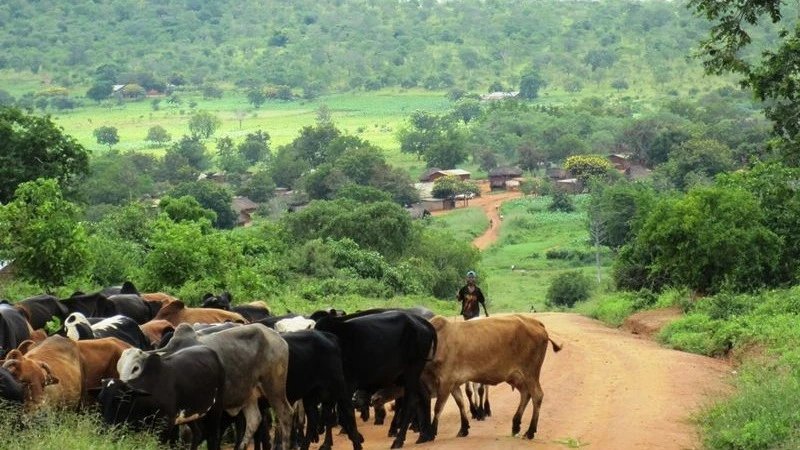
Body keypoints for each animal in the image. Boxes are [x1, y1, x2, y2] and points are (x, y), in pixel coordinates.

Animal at [99, 346, 228, 448]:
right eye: (101, 400)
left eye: (119, 399)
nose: (105, 428)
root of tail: (211, 351)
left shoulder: (166, 427)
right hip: (192, 413)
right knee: (198, 433)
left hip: (216, 408)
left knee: (213, 436)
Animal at [312, 312, 438, 448]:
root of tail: (423, 322)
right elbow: (328, 415)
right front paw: (326, 443)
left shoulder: (347, 386)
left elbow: (343, 415)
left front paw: (358, 437)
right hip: (410, 377)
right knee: (423, 396)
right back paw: (425, 435)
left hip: (412, 373)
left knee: (410, 402)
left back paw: (399, 440)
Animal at [422, 314, 560, 442]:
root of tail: (536, 323)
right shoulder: (453, 383)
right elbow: (460, 403)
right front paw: (464, 428)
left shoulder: (446, 381)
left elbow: (438, 407)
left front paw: (429, 433)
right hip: (516, 376)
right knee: (526, 394)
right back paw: (516, 425)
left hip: (531, 372)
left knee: (537, 395)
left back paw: (530, 431)